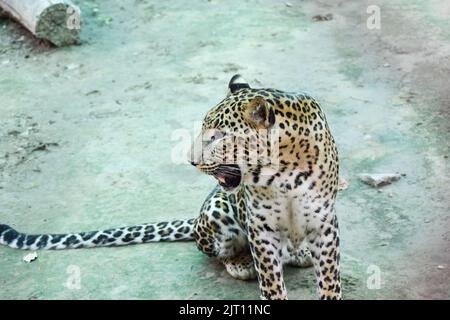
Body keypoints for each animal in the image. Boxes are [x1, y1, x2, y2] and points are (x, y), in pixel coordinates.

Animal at [0, 75, 338, 300]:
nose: (191, 160)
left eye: (218, 136)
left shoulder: (325, 225)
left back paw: (300, 252)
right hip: (217, 212)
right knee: (217, 252)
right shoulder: (260, 229)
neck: (282, 175)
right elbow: (270, 282)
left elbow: (330, 279)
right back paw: (241, 264)